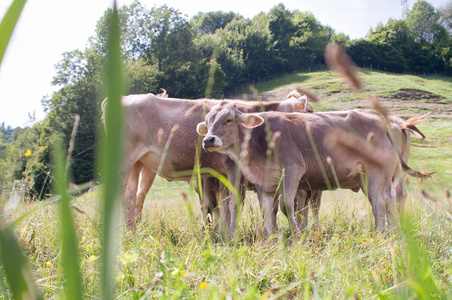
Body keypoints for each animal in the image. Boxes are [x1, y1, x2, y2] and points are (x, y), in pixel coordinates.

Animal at [197, 102, 428, 236]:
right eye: (207, 122)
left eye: (228, 119)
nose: (208, 140)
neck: (260, 140)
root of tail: (386, 121)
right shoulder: (265, 183)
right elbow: (268, 210)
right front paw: (270, 237)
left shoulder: (292, 171)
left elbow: (287, 206)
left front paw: (297, 235)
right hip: (377, 176)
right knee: (389, 200)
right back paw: (392, 230)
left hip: (376, 173)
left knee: (380, 202)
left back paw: (381, 232)